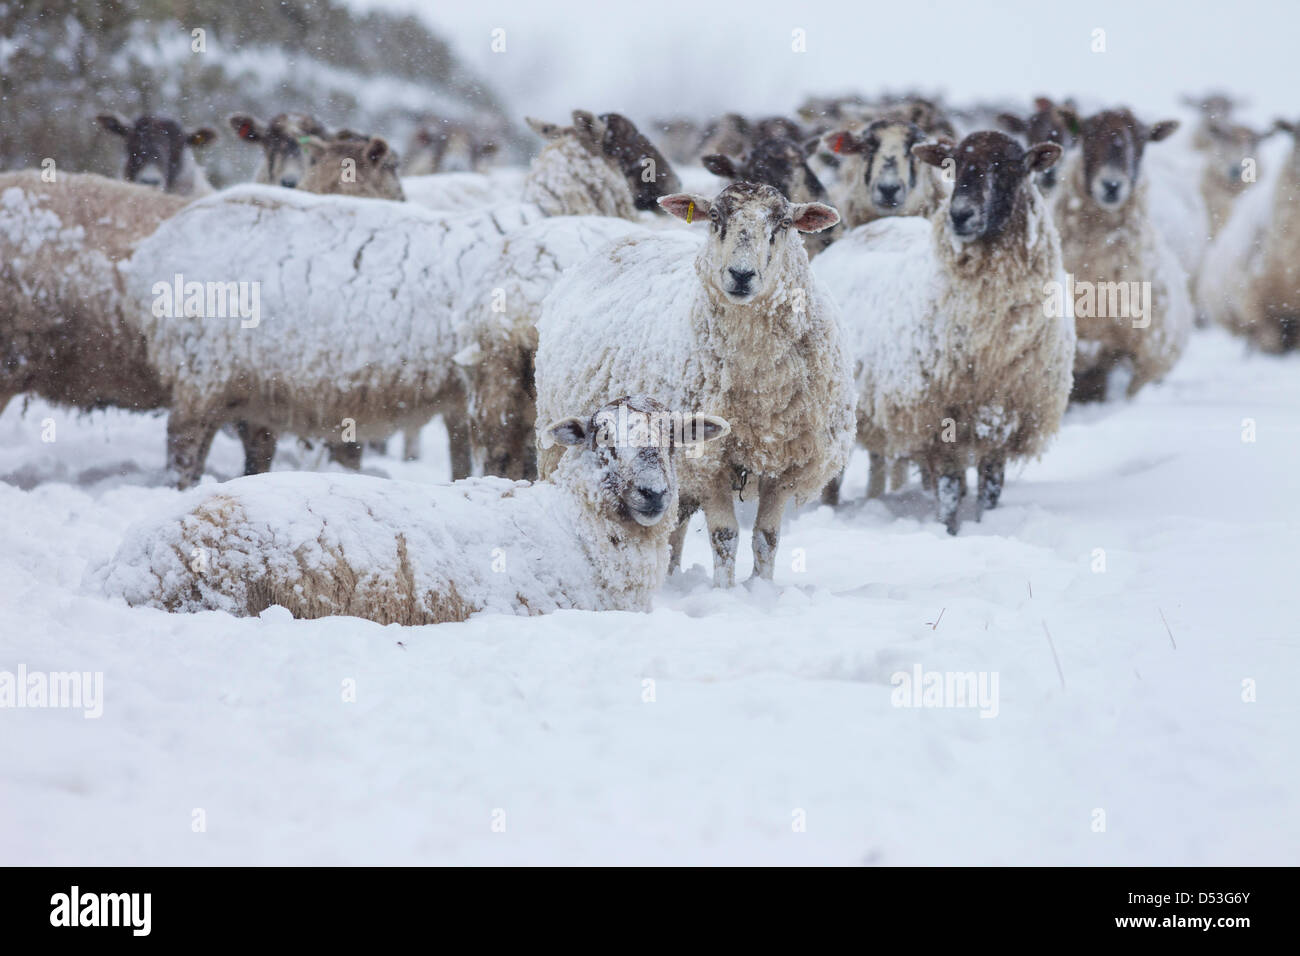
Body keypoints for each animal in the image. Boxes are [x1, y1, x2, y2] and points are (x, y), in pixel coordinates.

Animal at [533, 178, 857, 582]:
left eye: (784, 223)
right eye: (715, 217)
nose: (741, 275)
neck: (760, 388)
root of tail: (630, 236)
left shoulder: (788, 466)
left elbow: (767, 537)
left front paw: (761, 587)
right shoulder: (708, 464)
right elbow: (725, 535)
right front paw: (724, 589)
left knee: (677, 529)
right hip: (557, 446)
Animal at [811, 130, 1076, 535]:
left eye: (1012, 166)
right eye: (953, 164)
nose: (960, 214)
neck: (991, 340)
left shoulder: (1005, 414)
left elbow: (991, 485)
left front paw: (986, 523)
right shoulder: (938, 416)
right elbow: (950, 487)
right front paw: (949, 531)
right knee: (833, 477)